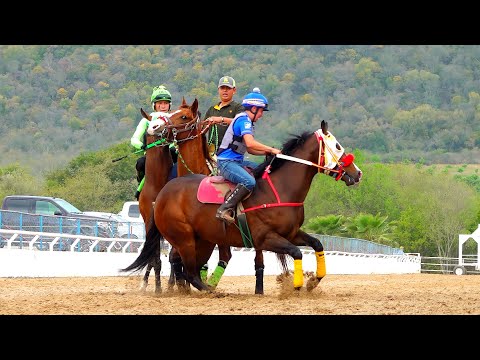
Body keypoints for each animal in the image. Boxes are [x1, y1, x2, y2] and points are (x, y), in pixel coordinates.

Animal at [125, 119, 362, 292]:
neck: (279, 190)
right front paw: (295, 285)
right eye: (337, 146)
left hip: (201, 240)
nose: (357, 173)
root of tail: (162, 194)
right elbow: (297, 253)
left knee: (180, 263)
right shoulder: (265, 238)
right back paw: (209, 290)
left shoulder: (292, 232)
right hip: (185, 238)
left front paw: (314, 280)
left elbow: (317, 244)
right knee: (188, 270)